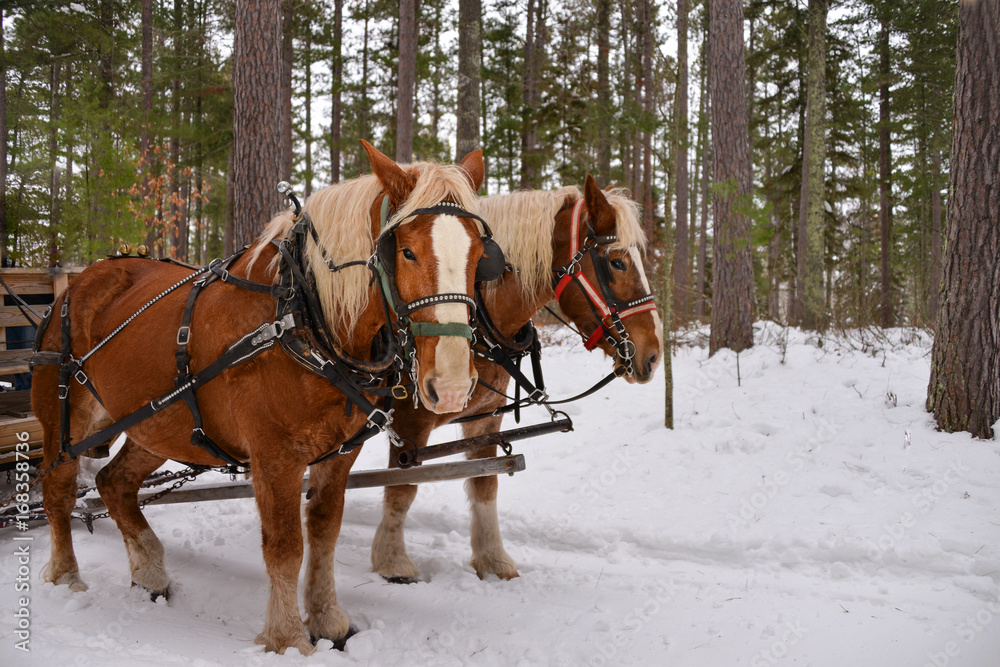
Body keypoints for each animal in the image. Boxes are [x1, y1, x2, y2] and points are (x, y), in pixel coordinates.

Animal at [33, 138, 494, 656]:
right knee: (57, 486)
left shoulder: (340, 453)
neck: (302, 315)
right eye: (408, 252)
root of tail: (80, 279)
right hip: (66, 418)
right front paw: (288, 637)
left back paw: (149, 570)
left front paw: (329, 621)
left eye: (480, 254)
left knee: (113, 483)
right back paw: (67, 576)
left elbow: (324, 533)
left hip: (155, 423)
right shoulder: (275, 457)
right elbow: (285, 546)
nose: (451, 384)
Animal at [370, 175, 664, 580]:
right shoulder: (408, 423)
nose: (653, 354)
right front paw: (392, 561)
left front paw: (493, 559)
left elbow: (485, 485)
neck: (479, 324)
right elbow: (402, 488)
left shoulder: (486, 419)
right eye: (617, 262)